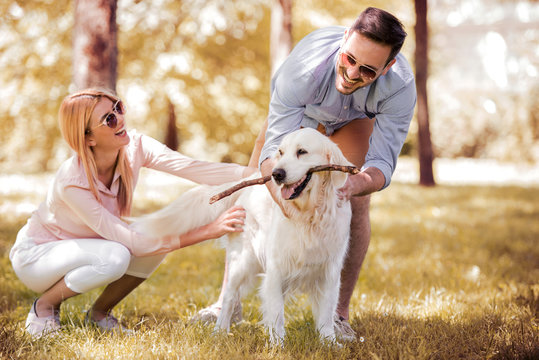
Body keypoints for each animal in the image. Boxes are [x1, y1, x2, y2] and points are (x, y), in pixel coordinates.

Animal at [131, 128, 354, 344]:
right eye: (281, 153)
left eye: (302, 152)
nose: (276, 173)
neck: (308, 216)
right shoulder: (276, 269)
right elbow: (276, 314)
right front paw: (278, 346)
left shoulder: (330, 272)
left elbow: (326, 315)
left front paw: (329, 344)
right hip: (242, 261)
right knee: (229, 297)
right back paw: (219, 332)